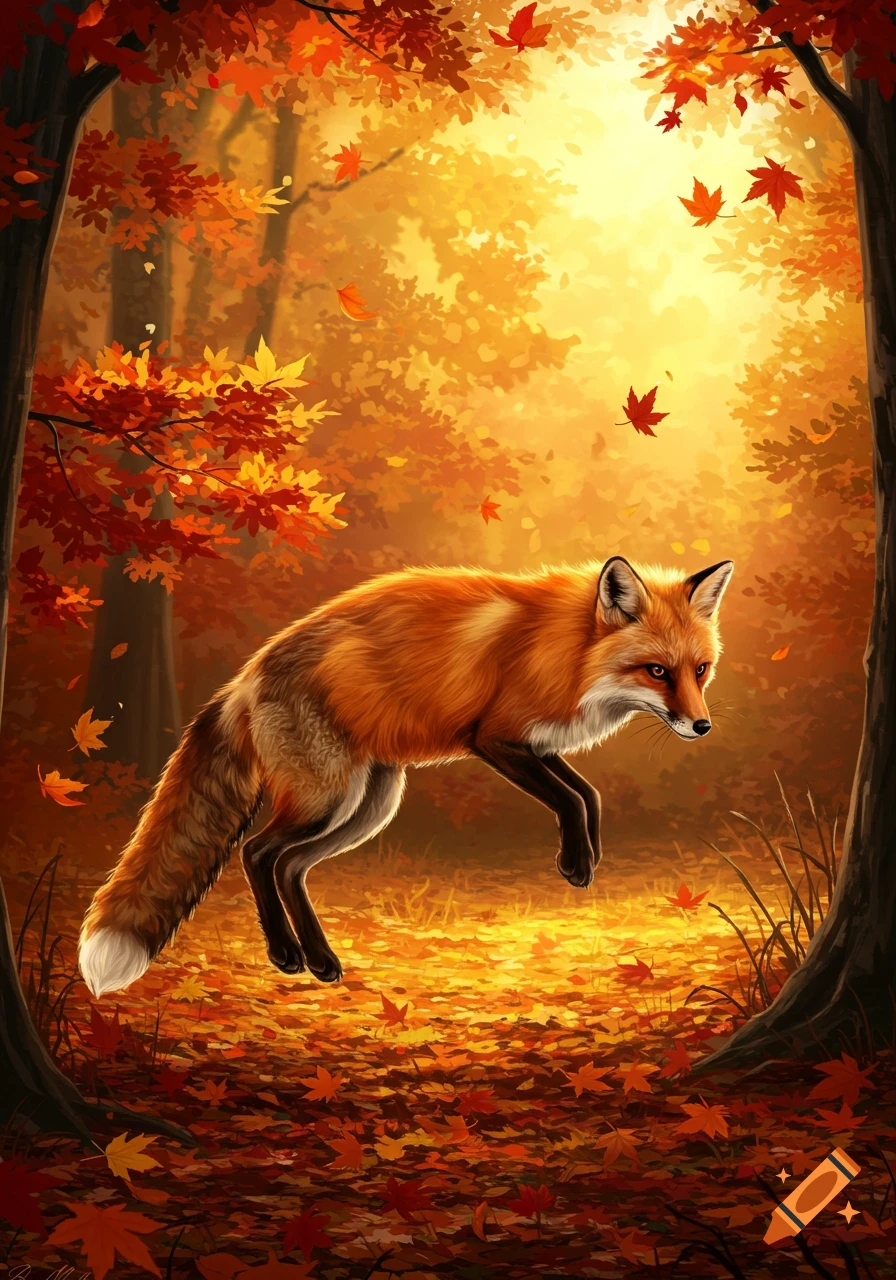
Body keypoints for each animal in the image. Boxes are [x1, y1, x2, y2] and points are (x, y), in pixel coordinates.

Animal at [78, 555, 733, 998]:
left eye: (700, 670)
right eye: (656, 671)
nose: (702, 726)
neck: (567, 649)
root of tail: (246, 676)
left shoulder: (535, 741)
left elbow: (588, 794)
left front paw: (590, 854)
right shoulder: (495, 737)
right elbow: (569, 799)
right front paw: (575, 865)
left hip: (370, 804)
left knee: (289, 866)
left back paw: (319, 960)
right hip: (328, 797)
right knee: (258, 853)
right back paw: (288, 953)